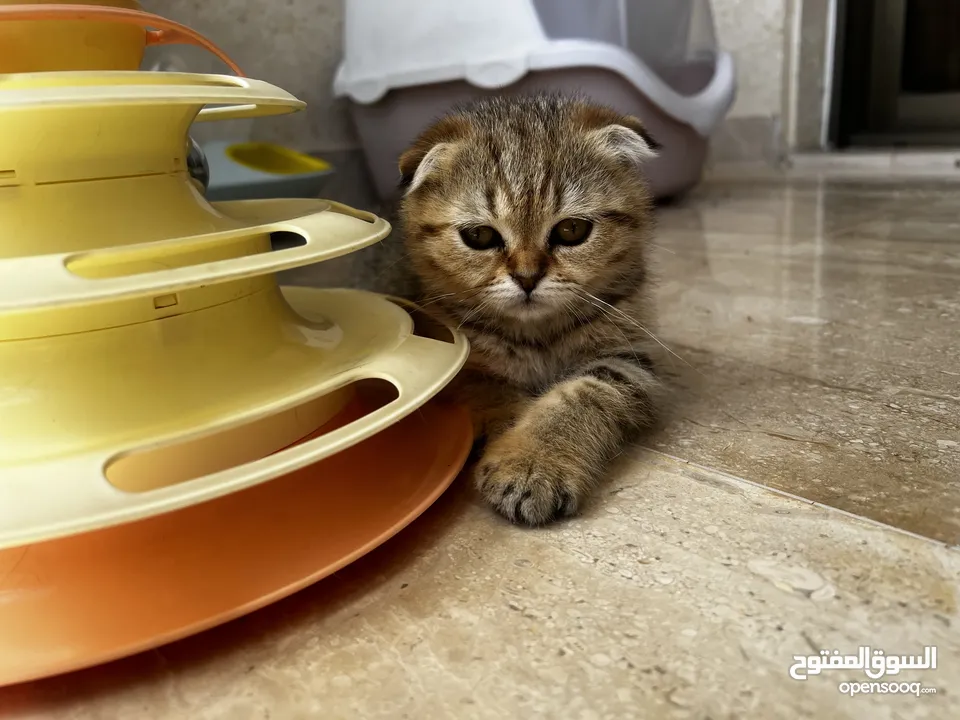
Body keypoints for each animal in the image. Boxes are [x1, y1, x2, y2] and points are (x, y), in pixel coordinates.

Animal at [396, 94, 660, 524]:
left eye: (572, 230)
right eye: (479, 235)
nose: (527, 277)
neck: (538, 334)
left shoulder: (626, 358)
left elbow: (580, 396)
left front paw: (535, 459)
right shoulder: (457, 363)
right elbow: (497, 394)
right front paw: (515, 441)